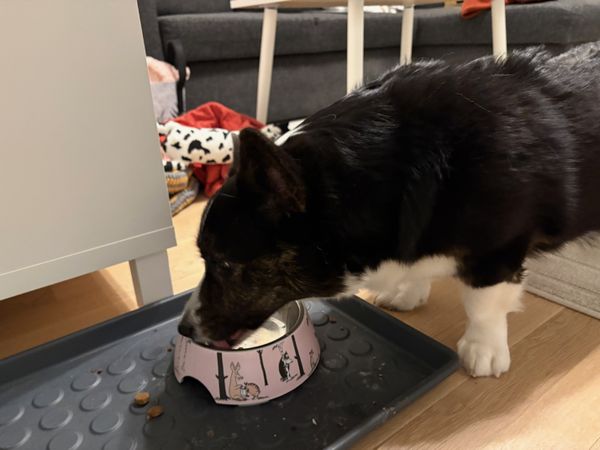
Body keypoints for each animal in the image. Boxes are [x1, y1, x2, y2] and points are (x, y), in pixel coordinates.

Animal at [178, 43, 600, 377]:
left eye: (224, 263)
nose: (184, 330)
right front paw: (408, 292)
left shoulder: (498, 251)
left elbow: (483, 305)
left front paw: (483, 352)